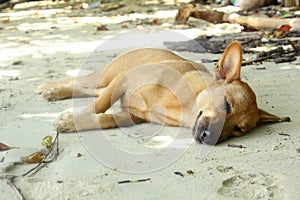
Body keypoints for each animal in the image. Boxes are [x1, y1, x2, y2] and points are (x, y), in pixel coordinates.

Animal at [35, 41, 290, 145]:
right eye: (226, 105)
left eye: (239, 129)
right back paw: (51, 88)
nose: (208, 138)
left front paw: (76, 121)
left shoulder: (131, 115)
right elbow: (97, 108)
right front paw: (73, 119)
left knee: (91, 90)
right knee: (80, 83)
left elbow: (105, 118)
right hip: (110, 75)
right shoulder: (123, 81)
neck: (183, 106)